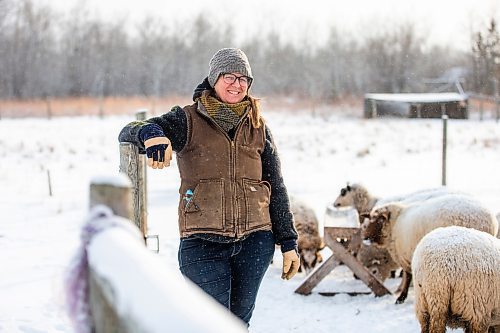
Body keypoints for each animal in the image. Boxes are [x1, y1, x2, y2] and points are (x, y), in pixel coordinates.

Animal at [364, 192, 500, 304]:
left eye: (377, 220)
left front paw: (401, 298)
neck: (394, 224)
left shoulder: (405, 257)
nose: (364, 237)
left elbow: (407, 277)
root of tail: (490, 220)